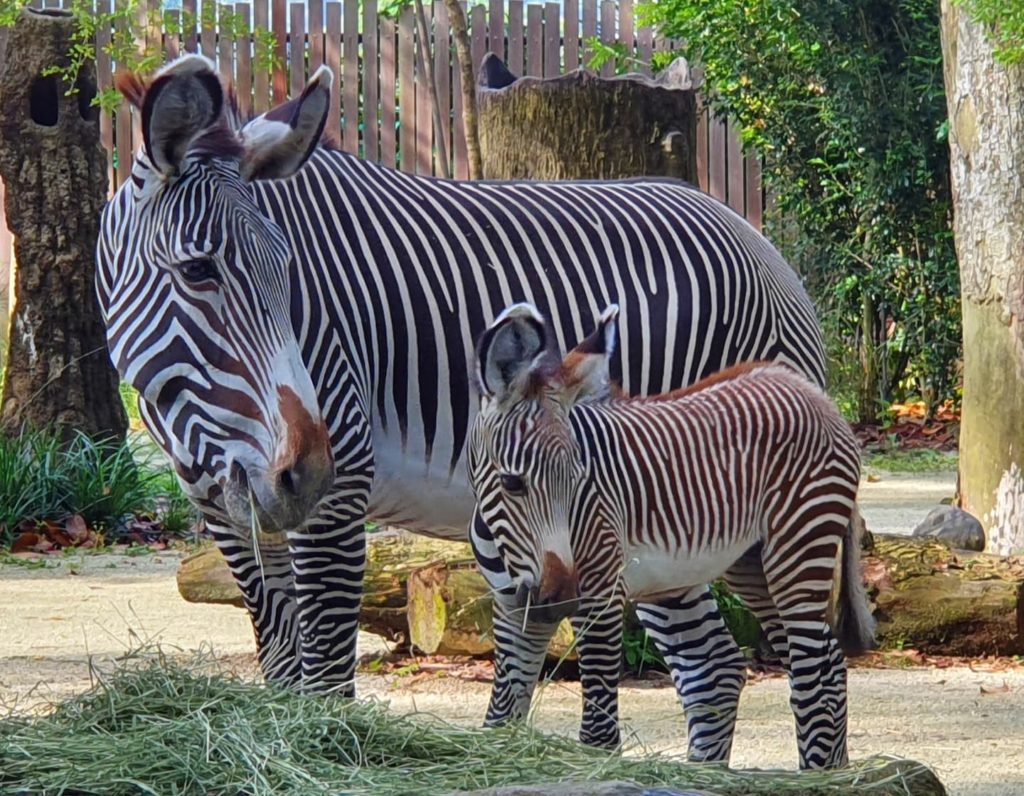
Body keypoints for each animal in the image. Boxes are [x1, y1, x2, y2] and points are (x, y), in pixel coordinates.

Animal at [97, 52, 823, 762]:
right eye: (198, 271)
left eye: (291, 274)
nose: (306, 473)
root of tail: (756, 238)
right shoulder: (224, 509)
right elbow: (279, 666)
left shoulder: (336, 496)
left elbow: (325, 678)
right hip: (667, 522)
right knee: (714, 668)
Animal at [468, 301, 876, 766]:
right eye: (512, 483)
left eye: (577, 481)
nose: (561, 598)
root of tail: (811, 391)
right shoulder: (512, 605)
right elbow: (501, 716)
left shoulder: (602, 591)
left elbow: (598, 732)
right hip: (752, 565)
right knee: (827, 663)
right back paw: (831, 770)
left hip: (799, 545)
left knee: (811, 675)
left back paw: (818, 773)